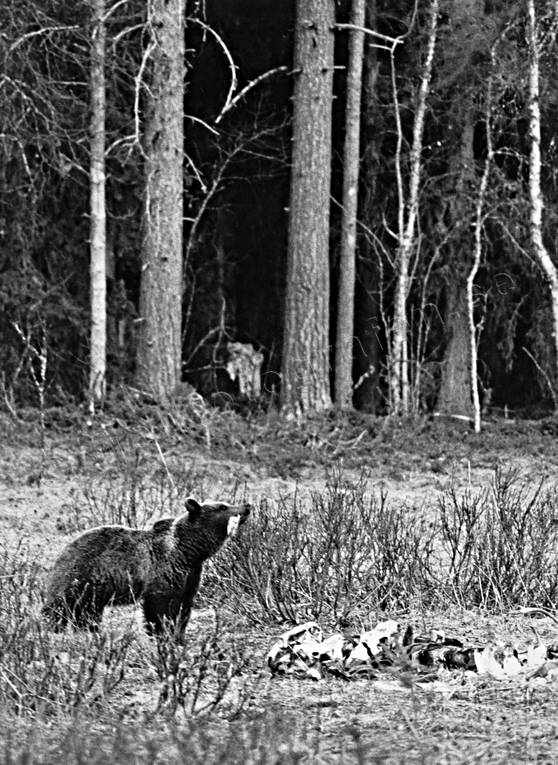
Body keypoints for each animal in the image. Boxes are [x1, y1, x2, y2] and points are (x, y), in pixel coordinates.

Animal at [42, 496, 253, 640]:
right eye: (223, 506)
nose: (247, 505)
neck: (188, 551)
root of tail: (65, 550)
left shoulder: (191, 575)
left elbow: (184, 607)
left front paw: (178, 635)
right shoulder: (162, 569)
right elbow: (159, 606)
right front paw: (161, 633)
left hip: (94, 590)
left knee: (87, 612)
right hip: (81, 574)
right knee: (60, 606)